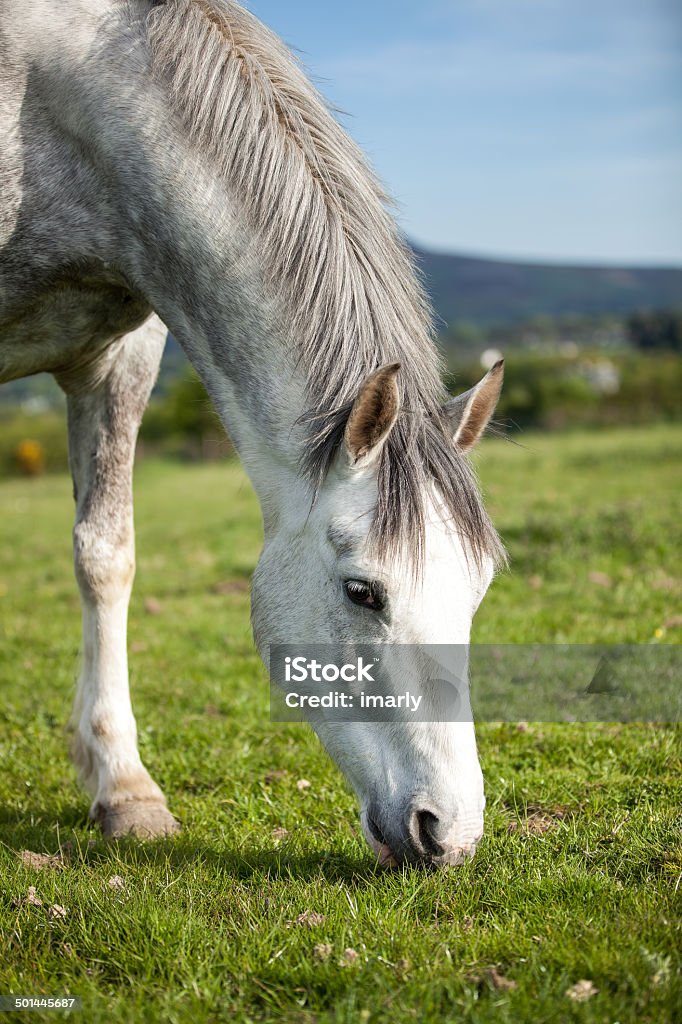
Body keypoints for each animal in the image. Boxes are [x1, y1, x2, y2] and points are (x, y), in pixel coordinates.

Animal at [1, 0, 503, 864]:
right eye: (363, 592)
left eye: (477, 590)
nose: (452, 832)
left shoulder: (122, 357)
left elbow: (105, 556)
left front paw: (125, 790)